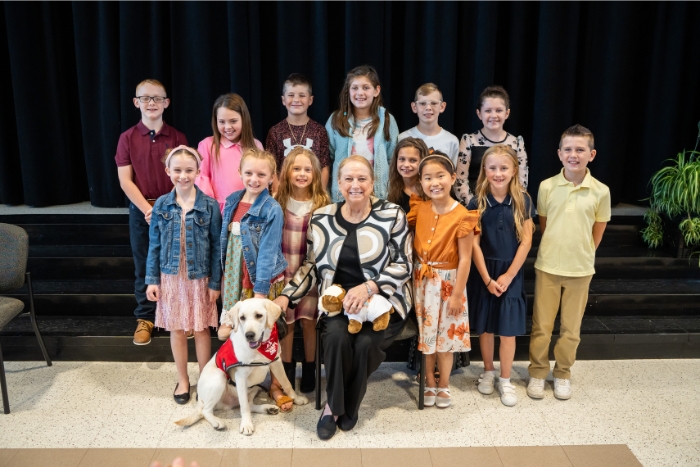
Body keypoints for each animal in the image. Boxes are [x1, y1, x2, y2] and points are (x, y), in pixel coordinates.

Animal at [175, 300, 306, 436]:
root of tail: (199, 399)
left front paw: (297, 399)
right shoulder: (241, 377)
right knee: (206, 410)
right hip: (219, 377)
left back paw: (268, 408)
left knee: (249, 404)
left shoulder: (276, 363)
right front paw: (246, 424)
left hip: (254, 388)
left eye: (259, 315)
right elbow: (244, 406)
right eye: (242, 318)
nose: (249, 335)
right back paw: (217, 422)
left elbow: (287, 384)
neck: (260, 347)